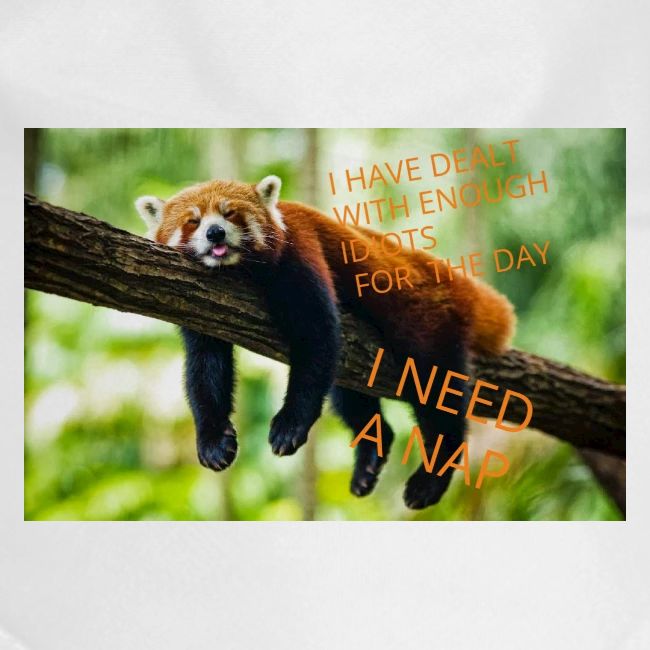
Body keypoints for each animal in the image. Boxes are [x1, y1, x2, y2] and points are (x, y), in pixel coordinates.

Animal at [136, 175, 515, 509]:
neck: (238, 271)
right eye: (193, 221)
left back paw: (431, 477)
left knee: (436, 391)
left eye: (230, 214)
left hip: (427, 323)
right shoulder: (200, 304)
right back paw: (370, 457)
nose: (215, 232)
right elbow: (205, 367)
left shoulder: (300, 252)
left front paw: (290, 425)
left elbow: (316, 339)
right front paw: (213, 441)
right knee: (349, 395)